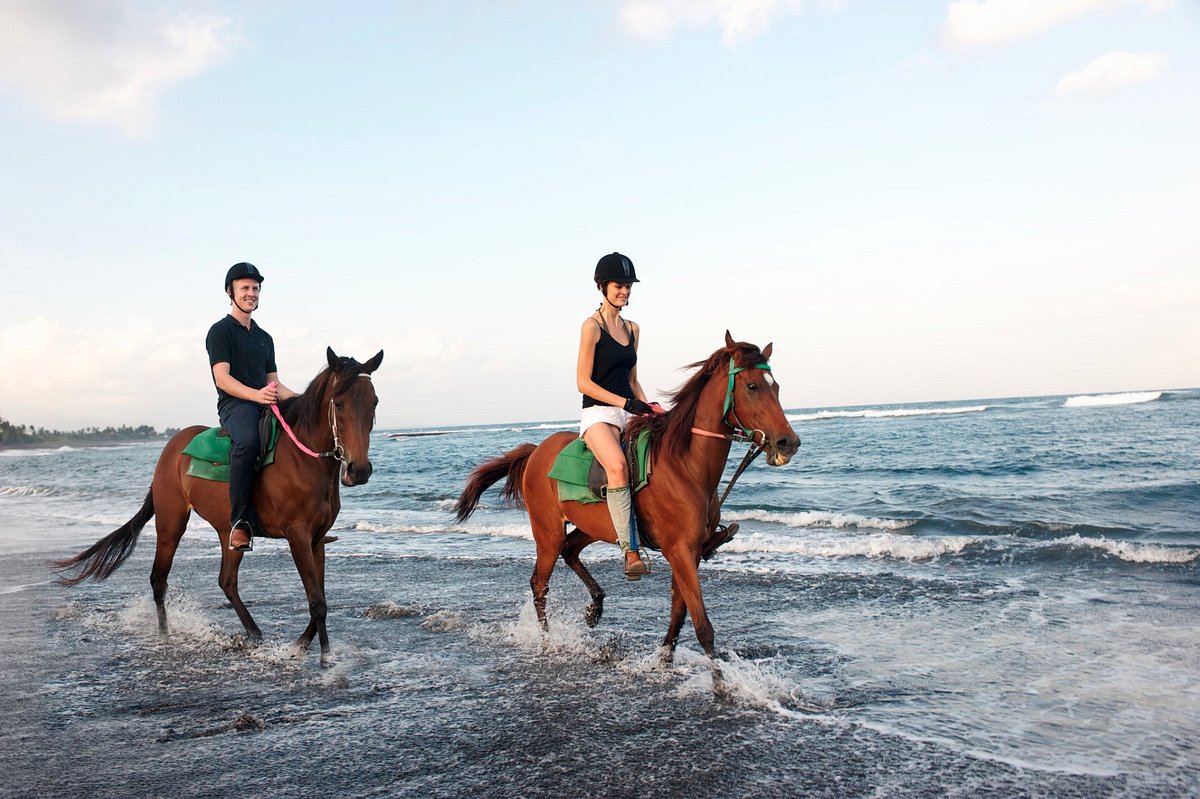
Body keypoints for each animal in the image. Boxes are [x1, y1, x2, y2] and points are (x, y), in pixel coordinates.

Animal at [55, 345, 384, 657]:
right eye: (338, 403)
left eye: (374, 402)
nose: (359, 470)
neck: (305, 460)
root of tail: (171, 448)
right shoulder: (298, 537)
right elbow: (317, 602)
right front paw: (325, 659)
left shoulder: (316, 539)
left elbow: (321, 599)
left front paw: (300, 645)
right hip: (171, 524)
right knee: (159, 580)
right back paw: (165, 635)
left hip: (230, 531)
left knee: (226, 581)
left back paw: (253, 633)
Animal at [453, 333, 801, 662]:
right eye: (753, 386)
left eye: (777, 387)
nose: (788, 442)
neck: (685, 466)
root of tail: (537, 450)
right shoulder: (679, 551)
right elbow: (702, 626)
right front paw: (719, 682)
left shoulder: (690, 553)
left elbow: (679, 615)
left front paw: (663, 661)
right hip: (547, 532)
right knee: (540, 583)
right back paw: (549, 640)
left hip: (594, 525)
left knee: (570, 551)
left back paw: (595, 607)